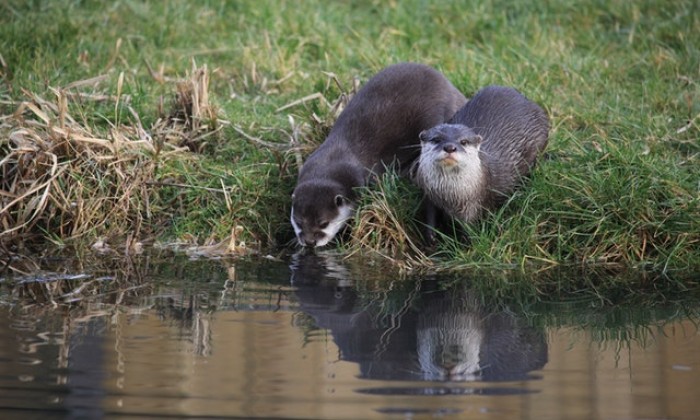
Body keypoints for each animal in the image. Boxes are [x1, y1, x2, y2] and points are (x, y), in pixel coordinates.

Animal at [413, 85, 549, 243]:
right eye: (436, 139)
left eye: (464, 141)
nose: (450, 147)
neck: (449, 196)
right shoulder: (429, 195)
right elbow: (429, 215)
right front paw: (431, 236)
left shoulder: (474, 204)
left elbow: (468, 228)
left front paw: (466, 243)